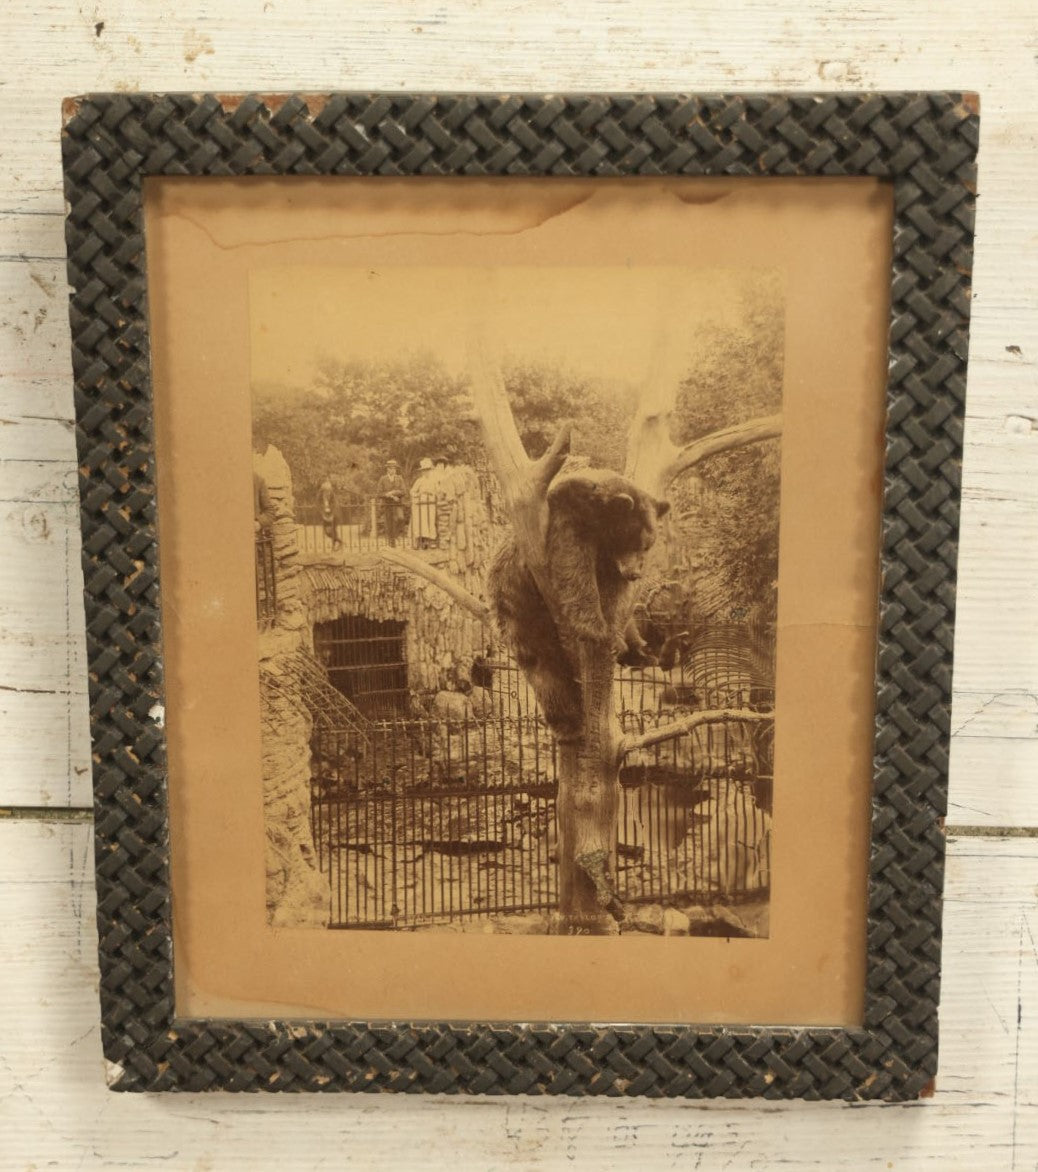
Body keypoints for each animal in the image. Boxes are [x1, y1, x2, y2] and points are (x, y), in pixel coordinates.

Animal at [489, 468, 674, 736]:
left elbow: (614, 598)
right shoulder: (570, 516)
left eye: (648, 546)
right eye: (633, 541)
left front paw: (617, 638)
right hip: (516, 597)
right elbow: (574, 567)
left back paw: (641, 653)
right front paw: (596, 630)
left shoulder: (609, 561)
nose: (635, 574)